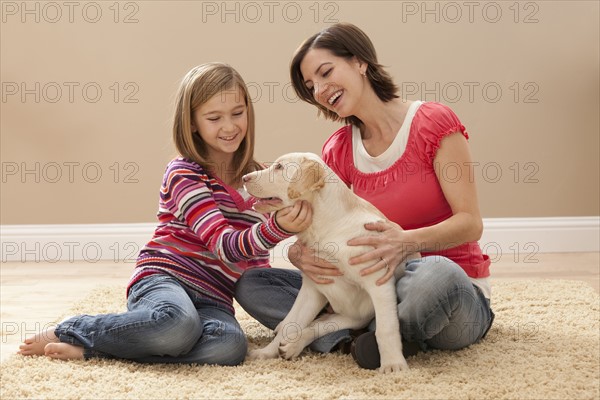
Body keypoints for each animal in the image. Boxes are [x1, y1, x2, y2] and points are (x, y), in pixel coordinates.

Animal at [241, 152, 414, 372]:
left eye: (279, 167)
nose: (244, 178)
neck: (326, 228)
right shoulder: (311, 288)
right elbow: (291, 322)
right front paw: (266, 353)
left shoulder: (379, 282)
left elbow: (386, 328)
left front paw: (393, 365)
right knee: (312, 324)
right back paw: (290, 345)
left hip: (359, 316)